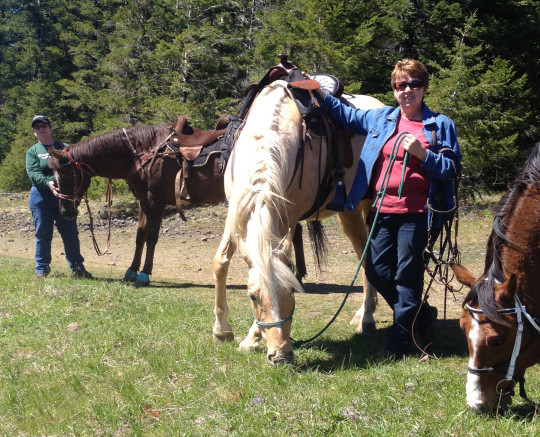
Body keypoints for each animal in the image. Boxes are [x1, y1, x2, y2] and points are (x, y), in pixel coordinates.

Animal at [212, 79, 384, 364]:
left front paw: (251, 338)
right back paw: (363, 314)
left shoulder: (288, 218)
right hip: (348, 212)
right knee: (364, 252)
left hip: (371, 205)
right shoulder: (235, 211)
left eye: (291, 292)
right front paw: (223, 331)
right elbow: (220, 262)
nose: (281, 355)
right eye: (252, 297)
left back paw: (367, 317)